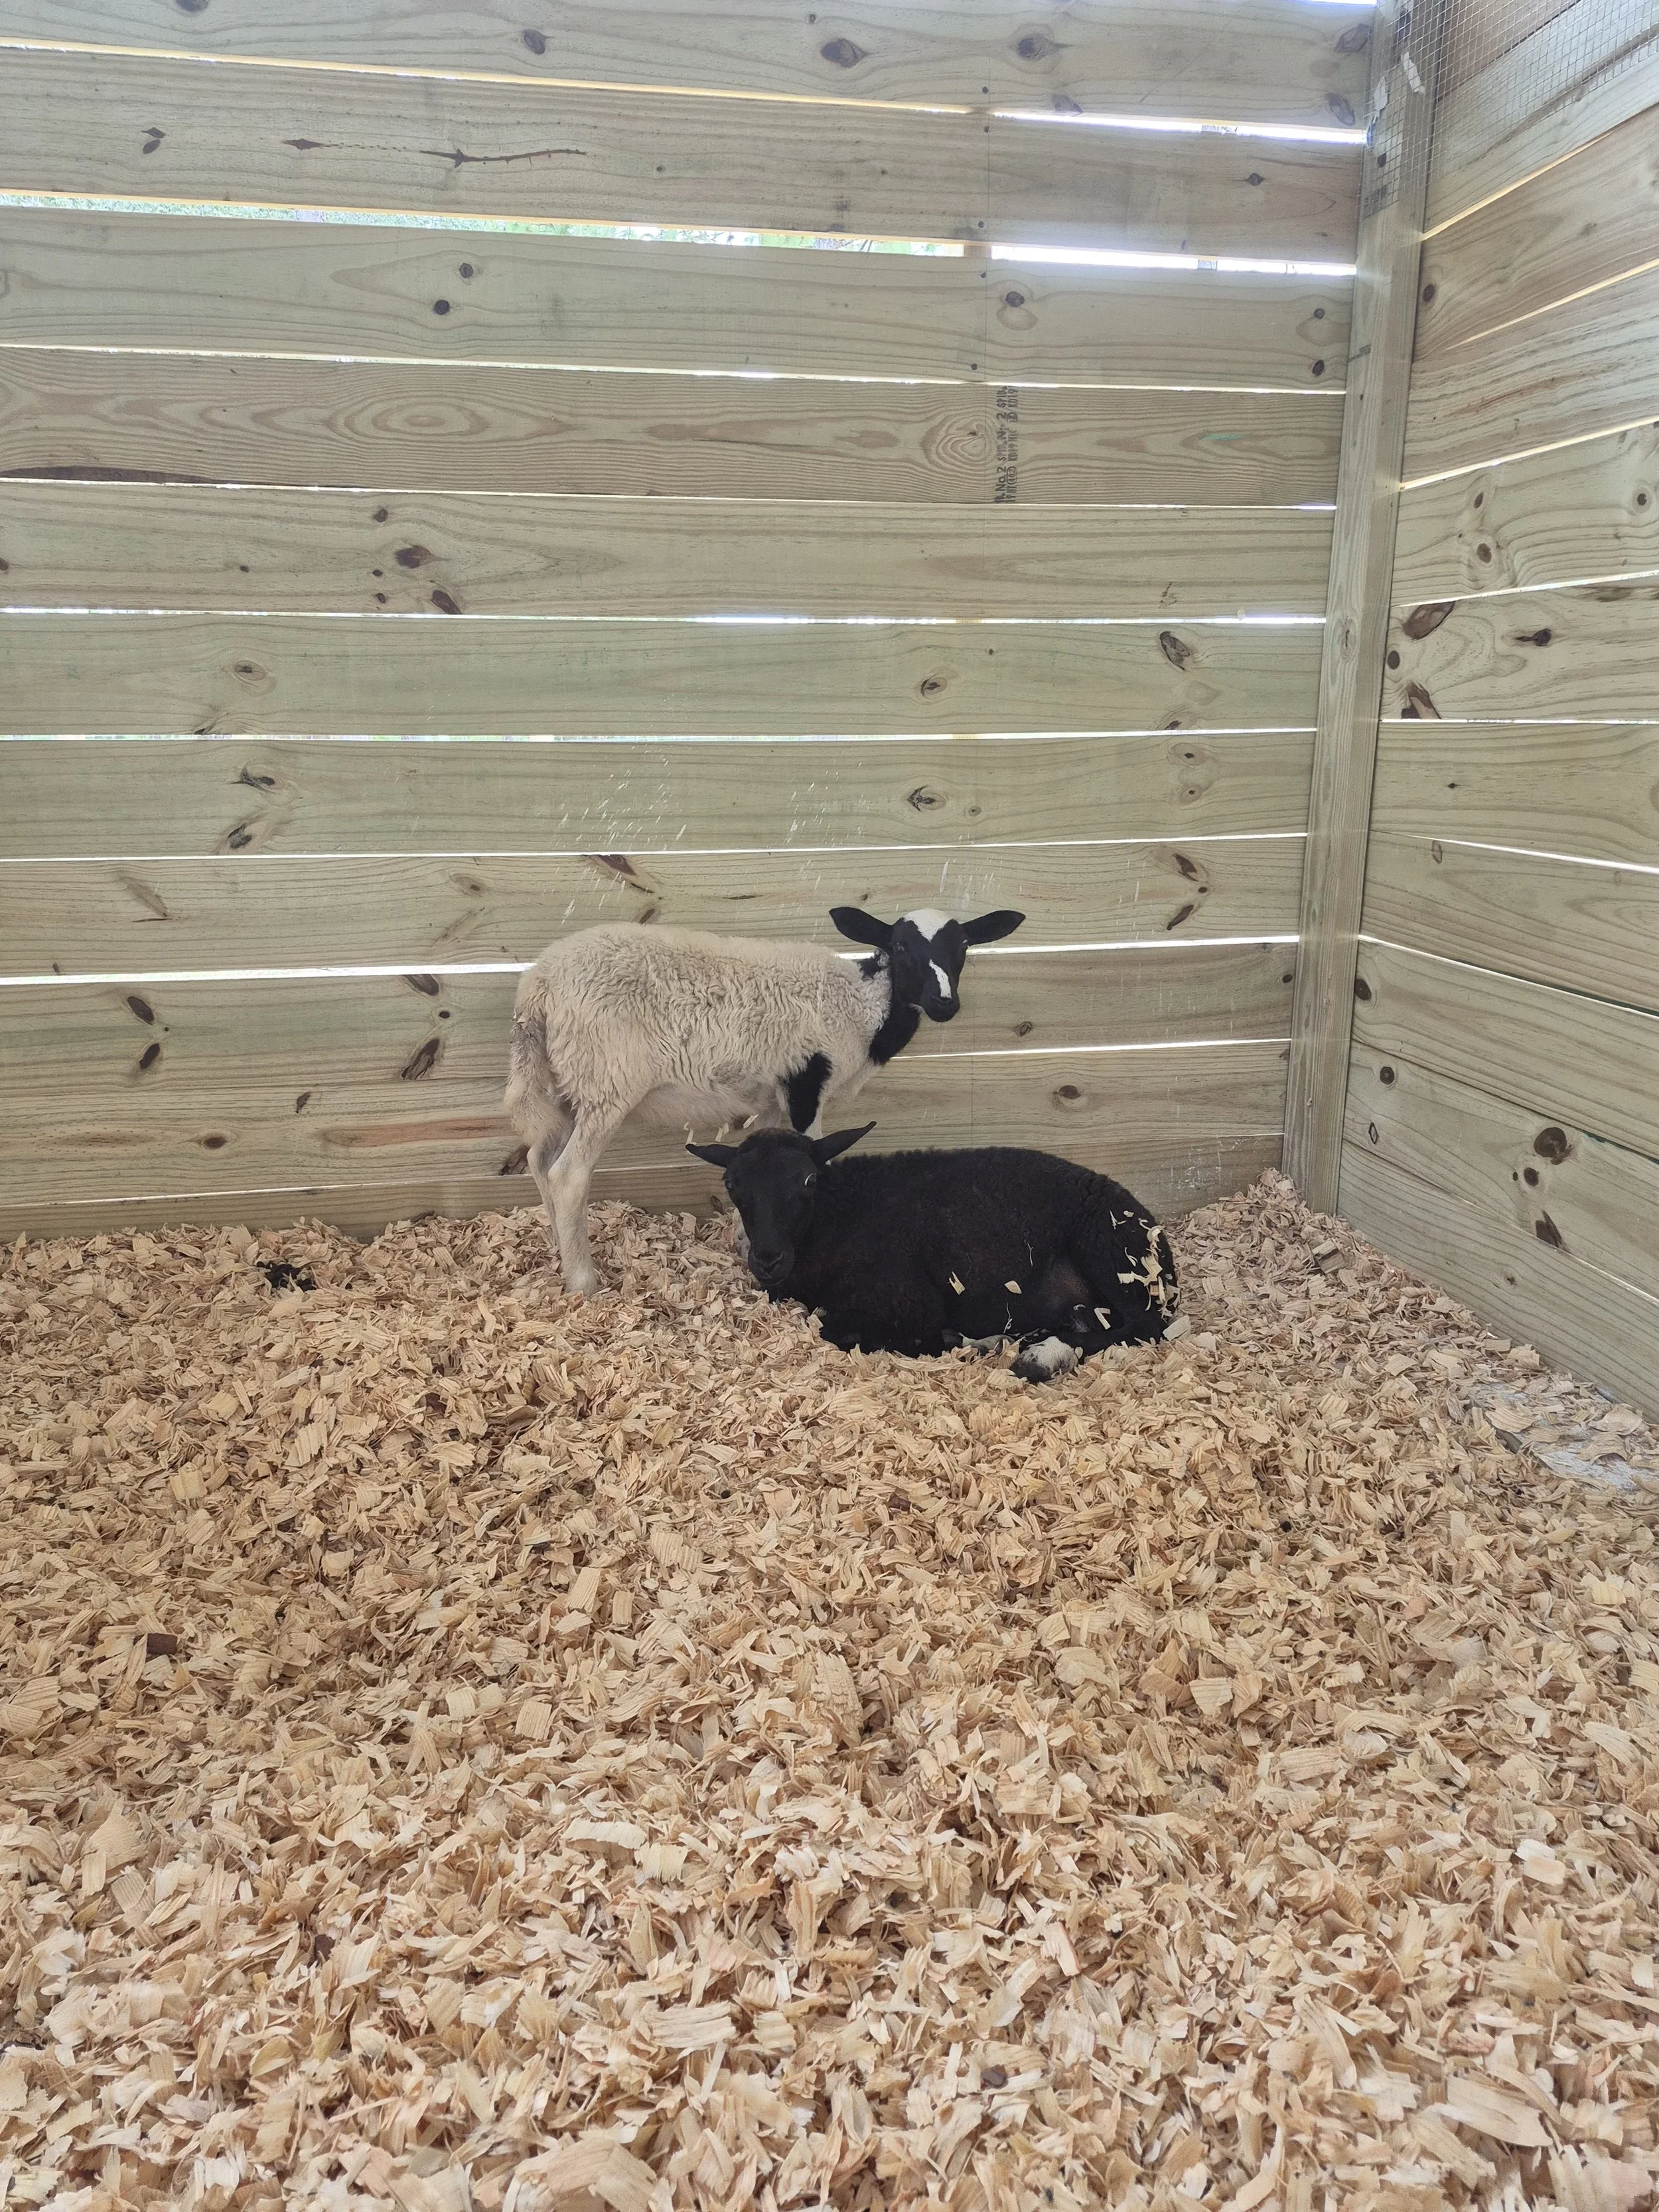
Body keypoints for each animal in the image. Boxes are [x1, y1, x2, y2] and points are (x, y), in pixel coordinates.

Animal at [506, 905, 1024, 1295]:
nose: (944, 1004)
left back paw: (560, 1249)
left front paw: (745, 1243)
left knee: (540, 1161)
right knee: (568, 1175)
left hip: (566, 1082)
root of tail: (538, 986)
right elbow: (814, 1155)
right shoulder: (806, 1082)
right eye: (900, 947)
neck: (864, 1006)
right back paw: (583, 1283)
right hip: (607, 1079)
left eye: (963, 947)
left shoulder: (774, 1093)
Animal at [685, 1123, 1180, 1381]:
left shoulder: (908, 1301)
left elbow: (834, 1329)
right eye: (732, 1183)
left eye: (808, 1180)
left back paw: (1040, 1356)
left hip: (1111, 1251)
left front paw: (956, 1341)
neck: (835, 1218)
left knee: (1143, 1327)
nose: (768, 1259)